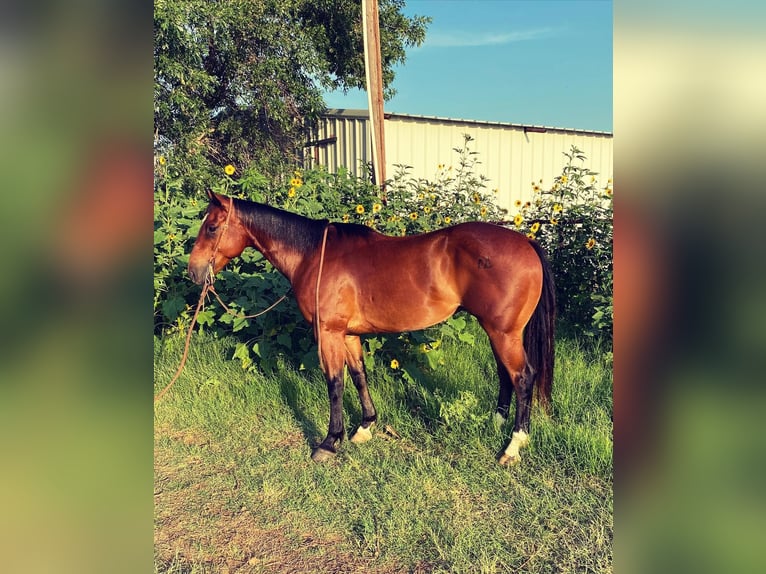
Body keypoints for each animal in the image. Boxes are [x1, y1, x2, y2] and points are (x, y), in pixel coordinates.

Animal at [188, 191, 556, 466]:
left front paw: (329, 442)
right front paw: (364, 428)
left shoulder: (329, 333)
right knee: (505, 375)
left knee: (523, 377)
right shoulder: (349, 334)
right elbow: (358, 376)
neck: (313, 255)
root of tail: (526, 243)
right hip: (497, 332)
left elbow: (335, 384)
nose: (193, 271)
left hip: (504, 334)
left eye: (212, 227)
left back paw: (513, 446)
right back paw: (496, 423)